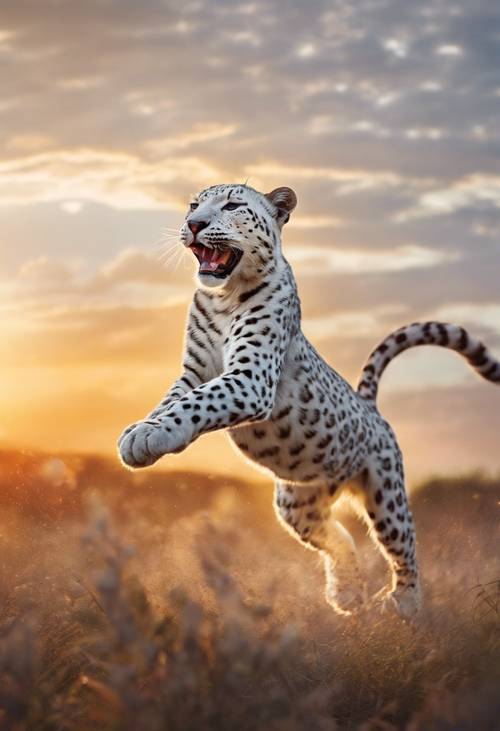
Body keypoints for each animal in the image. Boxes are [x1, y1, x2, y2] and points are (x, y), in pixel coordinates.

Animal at [118, 183, 500, 616]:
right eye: (194, 206)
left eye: (232, 205)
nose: (194, 224)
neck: (222, 298)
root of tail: (369, 406)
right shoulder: (193, 372)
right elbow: (172, 401)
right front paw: (141, 431)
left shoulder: (251, 378)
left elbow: (199, 402)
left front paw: (149, 436)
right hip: (296, 503)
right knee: (338, 537)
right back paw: (347, 593)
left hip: (384, 493)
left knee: (404, 546)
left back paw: (403, 604)